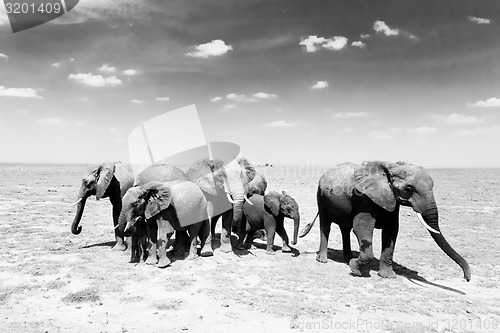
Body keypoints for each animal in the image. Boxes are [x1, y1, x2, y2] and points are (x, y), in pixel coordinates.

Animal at [298, 161, 470, 280]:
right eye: (408, 189)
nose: (466, 278)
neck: (389, 167)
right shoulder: (363, 198)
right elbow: (361, 228)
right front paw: (355, 269)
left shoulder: (391, 200)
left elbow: (391, 232)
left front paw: (388, 276)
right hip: (321, 196)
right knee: (326, 225)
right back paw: (323, 260)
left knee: (344, 228)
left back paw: (347, 257)